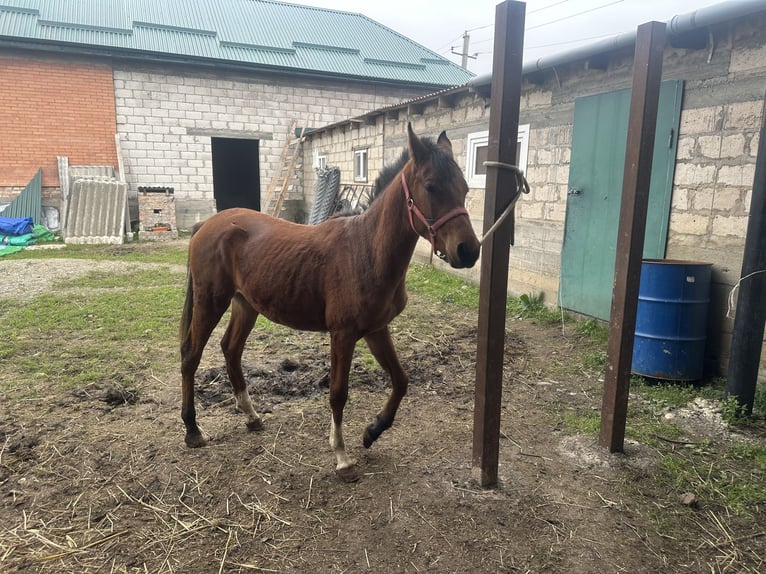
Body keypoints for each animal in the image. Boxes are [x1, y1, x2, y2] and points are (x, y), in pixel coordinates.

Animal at [179, 123, 480, 480]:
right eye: (431, 186)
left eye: (464, 187)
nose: (469, 251)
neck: (367, 250)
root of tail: (205, 225)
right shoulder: (343, 334)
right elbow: (338, 394)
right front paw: (342, 457)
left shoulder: (376, 330)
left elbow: (401, 380)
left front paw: (372, 431)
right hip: (210, 302)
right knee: (191, 355)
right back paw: (192, 429)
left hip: (245, 305)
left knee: (230, 349)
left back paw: (252, 417)